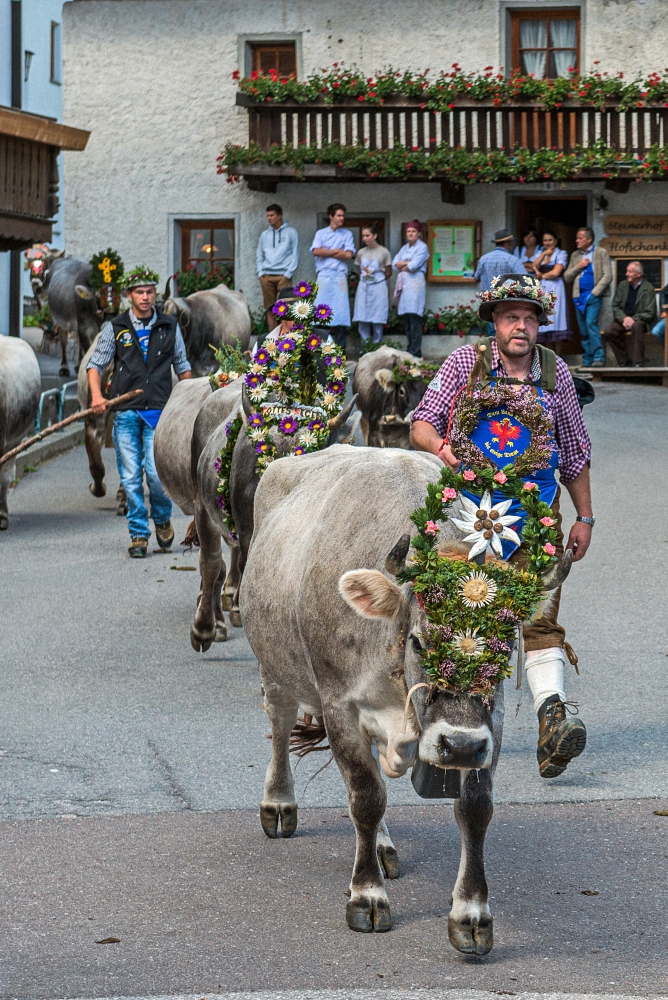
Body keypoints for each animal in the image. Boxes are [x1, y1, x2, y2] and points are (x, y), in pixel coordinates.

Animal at [237, 448, 572, 952]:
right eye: (419, 642)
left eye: (504, 649)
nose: (460, 747)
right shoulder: (339, 706)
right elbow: (365, 796)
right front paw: (367, 895)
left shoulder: (488, 725)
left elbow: (475, 809)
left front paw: (471, 913)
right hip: (275, 668)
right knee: (280, 727)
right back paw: (279, 804)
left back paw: (381, 846)